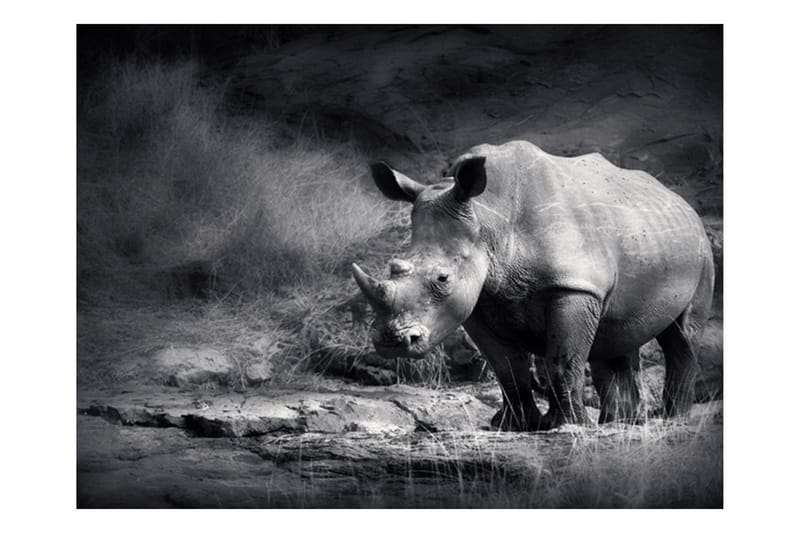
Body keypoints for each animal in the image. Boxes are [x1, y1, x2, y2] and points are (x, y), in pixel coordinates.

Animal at [352, 141, 714, 431]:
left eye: (443, 279)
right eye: (393, 267)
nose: (392, 342)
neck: (489, 219)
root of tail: (680, 201)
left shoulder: (573, 286)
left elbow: (562, 362)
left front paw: (568, 426)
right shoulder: (480, 302)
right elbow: (508, 370)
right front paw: (514, 426)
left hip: (700, 249)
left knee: (680, 336)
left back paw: (672, 420)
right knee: (616, 336)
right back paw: (620, 423)